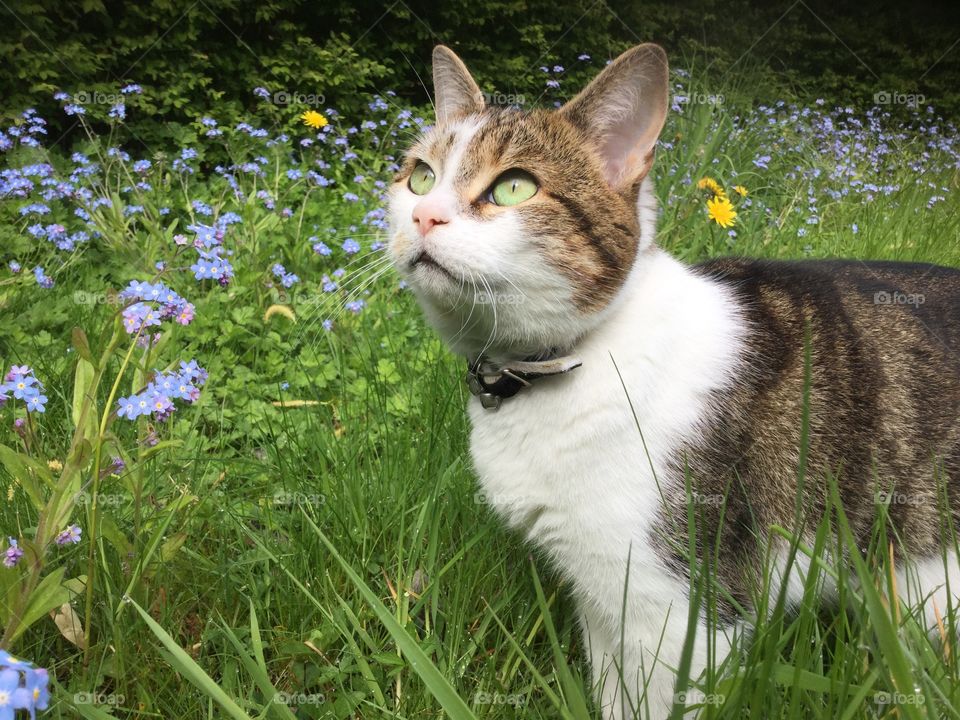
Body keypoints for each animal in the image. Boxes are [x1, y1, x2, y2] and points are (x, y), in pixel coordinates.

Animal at [384, 45, 960, 720]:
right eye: (420, 176)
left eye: (514, 186)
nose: (424, 214)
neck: (573, 357)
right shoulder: (601, 592)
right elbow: (612, 693)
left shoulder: (685, 603)